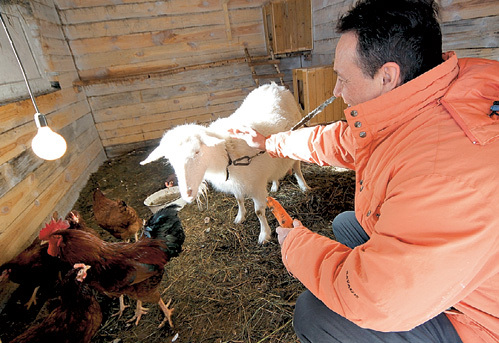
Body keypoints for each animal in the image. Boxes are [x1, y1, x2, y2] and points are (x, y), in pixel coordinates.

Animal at [141, 82, 310, 245]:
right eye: (171, 159)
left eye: (197, 152)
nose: (187, 194)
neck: (227, 152)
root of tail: (274, 85)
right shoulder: (236, 183)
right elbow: (239, 199)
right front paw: (240, 217)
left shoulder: (256, 185)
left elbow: (259, 212)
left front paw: (264, 235)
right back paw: (274, 185)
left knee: (296, 167)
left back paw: (304, 186)